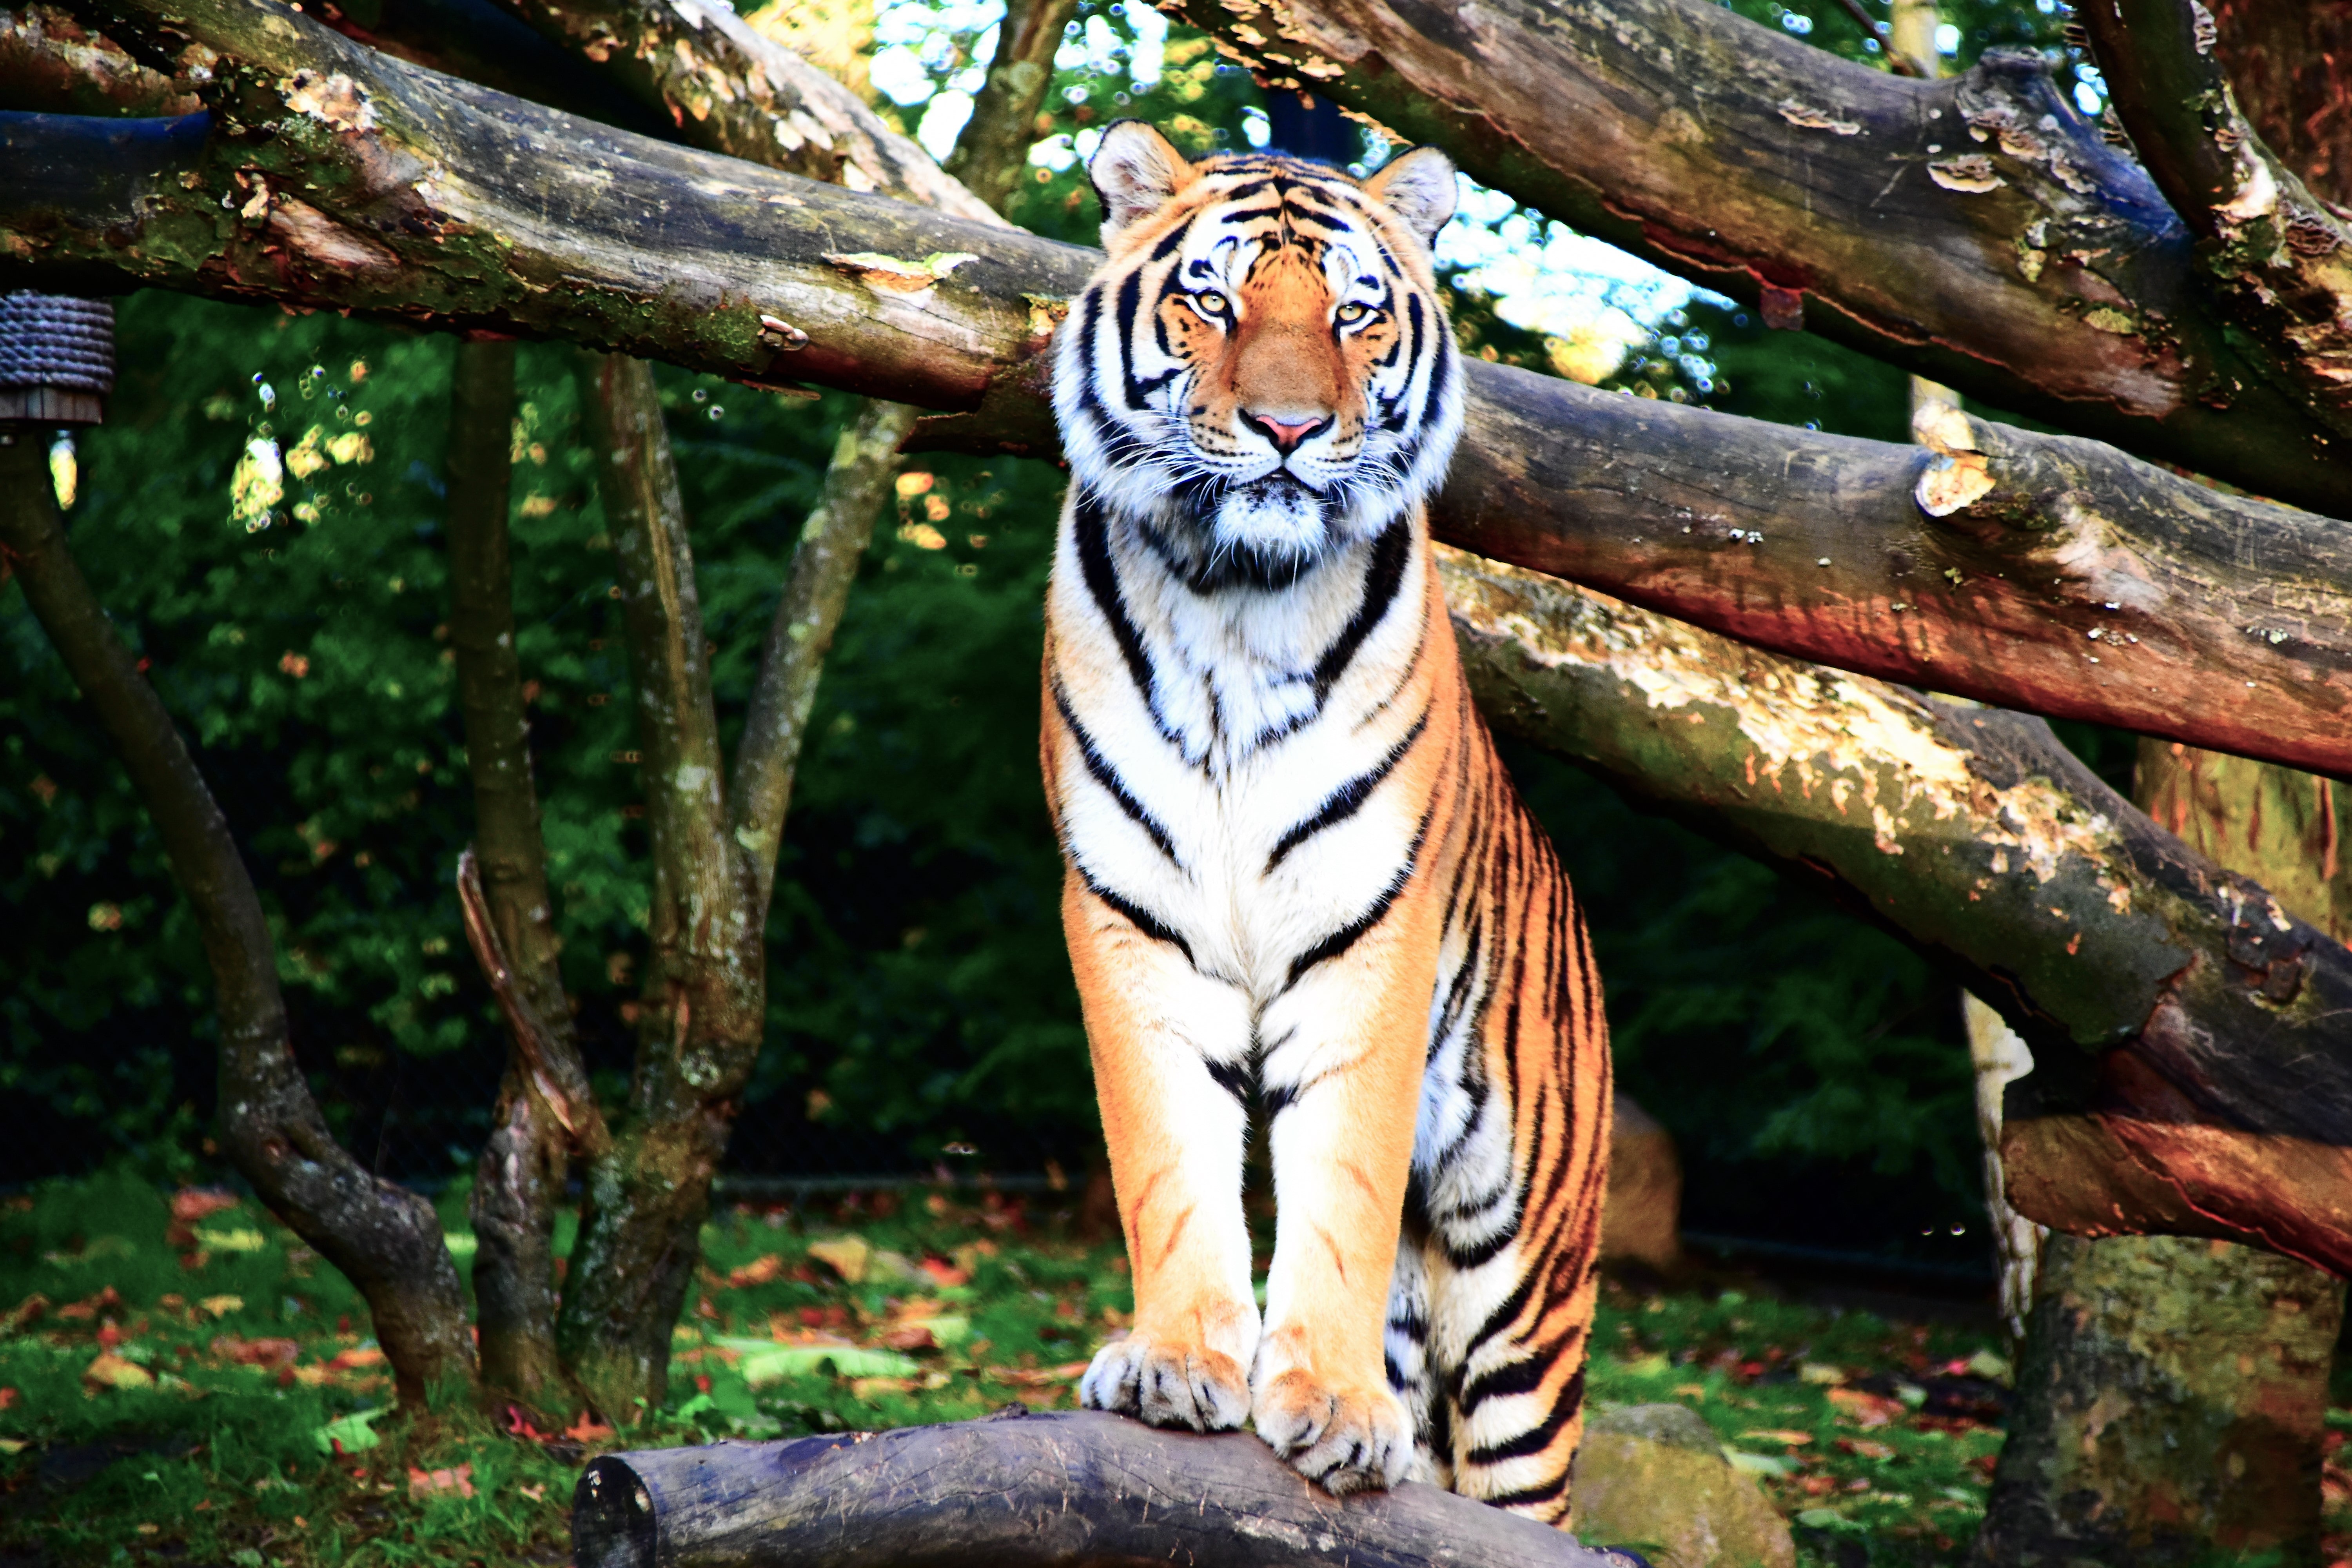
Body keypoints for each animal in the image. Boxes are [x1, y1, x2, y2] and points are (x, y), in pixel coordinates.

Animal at [1049, 125, 1618, 1533]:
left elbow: (1342, 1180)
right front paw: (1176, 1365)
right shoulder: (1133, 916)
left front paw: (1338, 1412)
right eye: (1213, 300)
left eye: (1356, 313)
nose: (1291, 430)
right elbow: (1168, 1160)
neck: (1235, 602)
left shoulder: (1372, 923)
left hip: (1522, 1287)